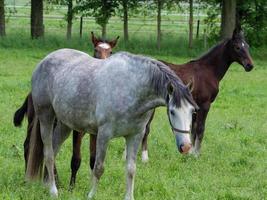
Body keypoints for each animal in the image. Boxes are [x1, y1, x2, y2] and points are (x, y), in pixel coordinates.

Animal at [13, 32, 120, 188]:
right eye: (96, 50)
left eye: (111, 52)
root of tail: (30, 94)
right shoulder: (77, 131)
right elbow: (76, 159)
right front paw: (71, 187)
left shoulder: (95, 132)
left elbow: (93, 159)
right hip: (38, 121)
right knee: (30, 145)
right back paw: (34, 179)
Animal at [26, 48, 199, 200]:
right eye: (172, 111)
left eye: (192, 112)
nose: (186, 147)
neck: (132, 87)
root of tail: (44, 61)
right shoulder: (104, 134)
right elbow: (98, 168)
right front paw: (91, 195)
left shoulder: (135, 135)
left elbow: (131, 169)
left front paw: (129, 197)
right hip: (46, 116)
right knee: (48, 154)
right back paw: (53, 191)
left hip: (65, 124)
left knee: (54, 149)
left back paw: (46, 184)